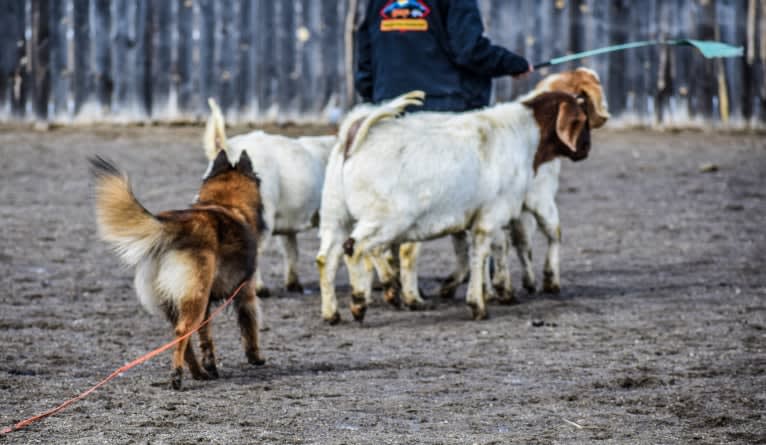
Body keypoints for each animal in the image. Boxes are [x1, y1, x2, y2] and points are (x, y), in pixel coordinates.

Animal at [91, 150, 268, 388]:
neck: (225, 202)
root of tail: (170, 227)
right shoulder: (246, 291)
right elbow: (250, 327)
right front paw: (256, 357)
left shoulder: (208, 305)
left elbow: (206, 337)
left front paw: (210, 365)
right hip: (195, 296)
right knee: (183, 332)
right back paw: (177, 376)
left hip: (180, 301)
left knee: (184, 339)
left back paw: (198, 373)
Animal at [318, 89, 592, 322]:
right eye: (582, 120)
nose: (586, 150)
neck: (522, 137)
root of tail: (354, 135)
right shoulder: (492, 213)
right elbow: (481, 254)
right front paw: (478, 304)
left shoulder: (481, 216)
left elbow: (486, 251)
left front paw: (494, 292)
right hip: (386, 218)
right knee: (356, 249)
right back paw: (360, 302)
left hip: (336, 213)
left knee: (327, 257)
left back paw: (333, 313)